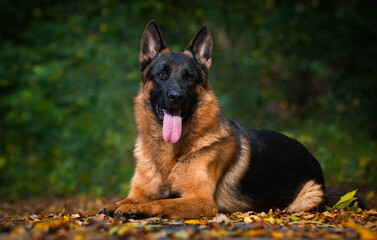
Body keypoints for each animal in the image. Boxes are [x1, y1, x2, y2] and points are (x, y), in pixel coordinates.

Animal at [99, 20, 332, 219]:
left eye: (189, 77)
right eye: (161, 75)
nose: (176, 97)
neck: (168, 154)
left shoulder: (201, 200)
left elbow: (161, 202)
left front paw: (136, 209)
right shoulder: (141, 192)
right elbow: (128, 199)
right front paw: (116, 205)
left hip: (309, 194)